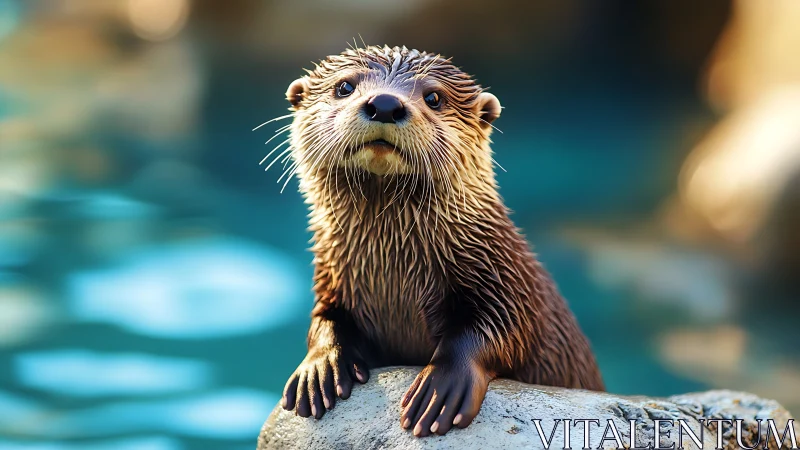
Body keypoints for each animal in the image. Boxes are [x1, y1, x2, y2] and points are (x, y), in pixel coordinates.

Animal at [275, 45, 603, 437]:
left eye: (434, 97)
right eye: (344, 86)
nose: (385, 103)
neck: (394, 274)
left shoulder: (506, 281)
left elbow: (499, 329)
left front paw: (441, 389)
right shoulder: (332, 278)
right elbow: (324, 319)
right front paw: (319, 367)